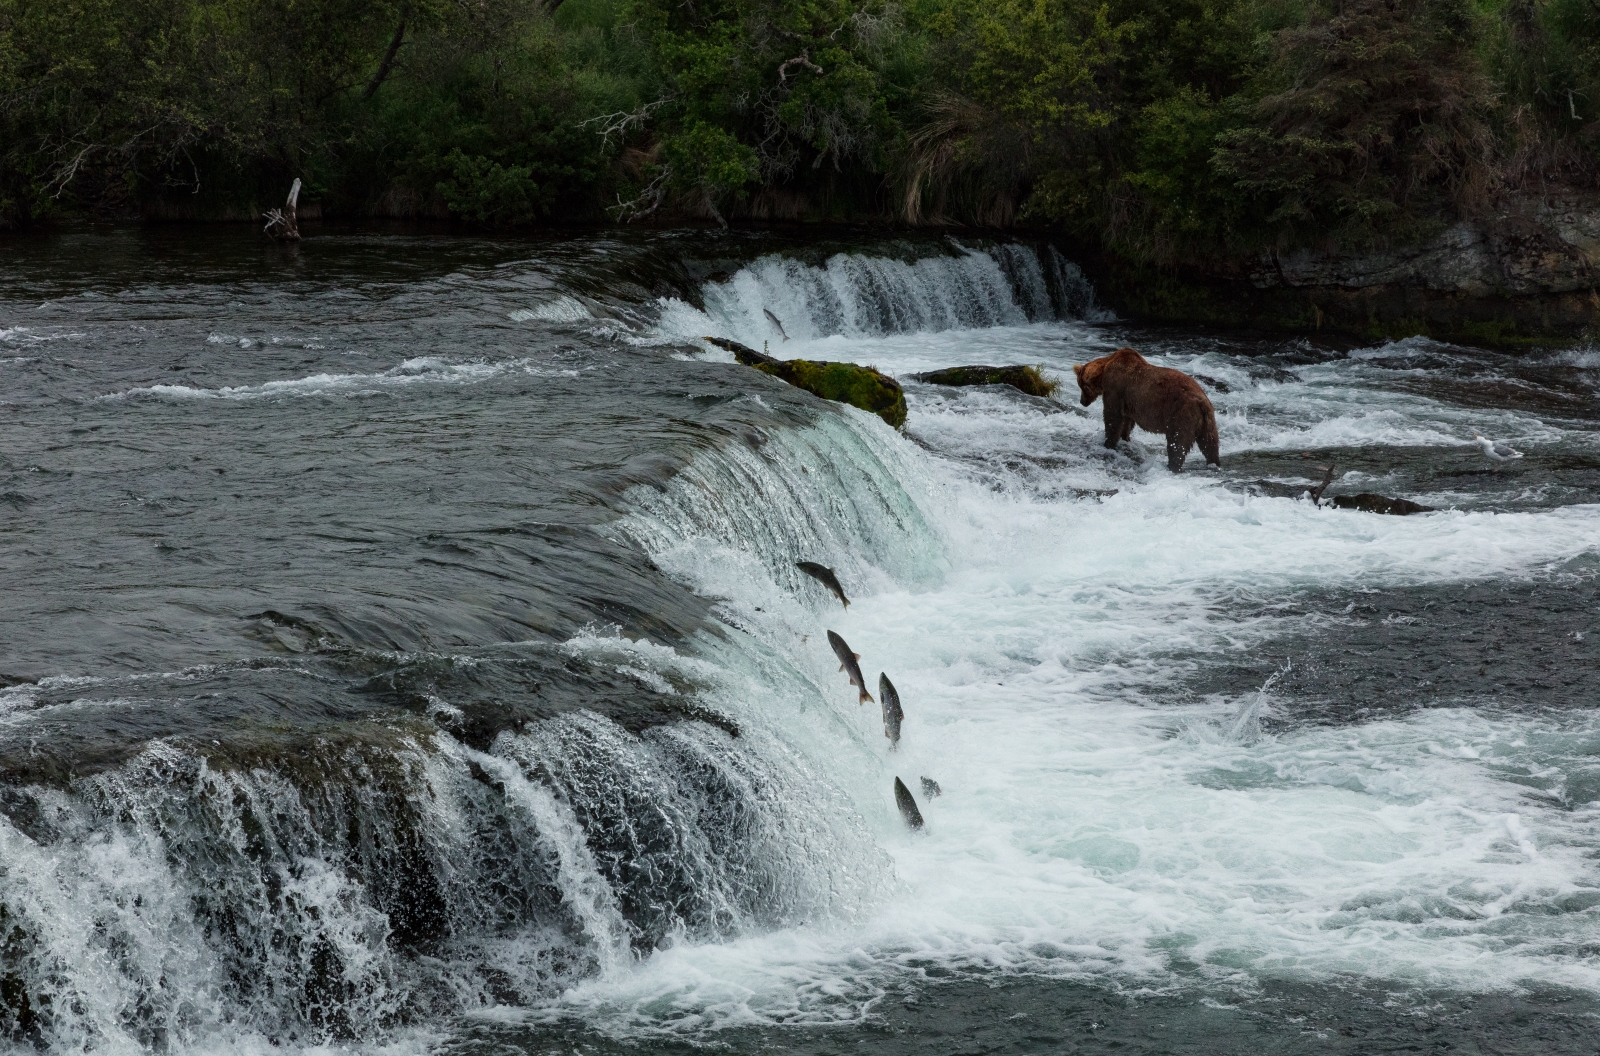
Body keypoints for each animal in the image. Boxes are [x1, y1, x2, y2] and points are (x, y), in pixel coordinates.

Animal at [1075, 348, 1222, 473]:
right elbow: (1126, 422)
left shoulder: (1115, 390)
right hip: (1208, 420)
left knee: (1177, 441)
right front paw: (1125, 438)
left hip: (1181, 414)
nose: (1082, 401)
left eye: (1081, 385)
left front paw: (1108, 443)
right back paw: (1214, 463)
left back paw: (1172, 466)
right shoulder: (1128, 402)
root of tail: (1202, 401)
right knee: (1210, 443)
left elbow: (1113, 418)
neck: (1104, 371)